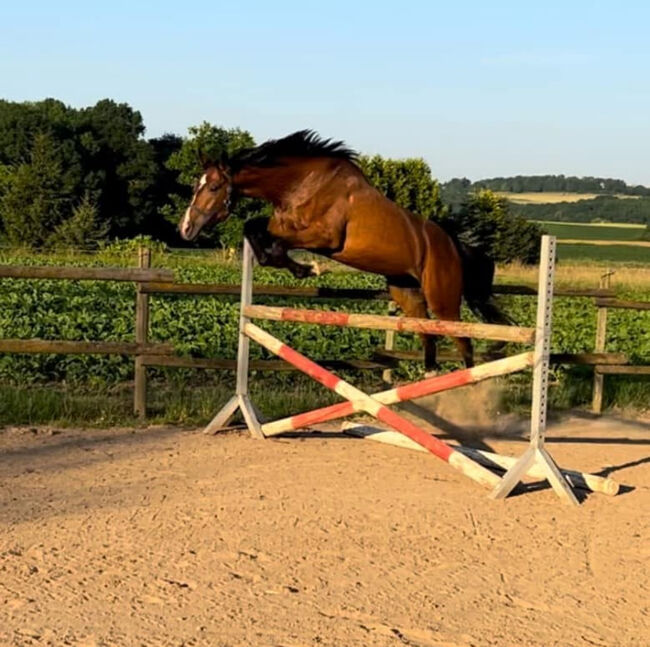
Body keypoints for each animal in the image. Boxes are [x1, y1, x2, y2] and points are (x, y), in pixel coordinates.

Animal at [178, 130, 512, 372]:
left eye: (213, 188)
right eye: (196, 185)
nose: (186, 229)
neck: (302, 184)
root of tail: (454, 245)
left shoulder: (325, 238)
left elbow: (276, 243)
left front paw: (311, 268)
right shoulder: (281, 225)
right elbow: (255, 231)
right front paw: (301, 268)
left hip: (443, 300)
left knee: (463, 340)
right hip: (407, 293)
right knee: (428, 336)